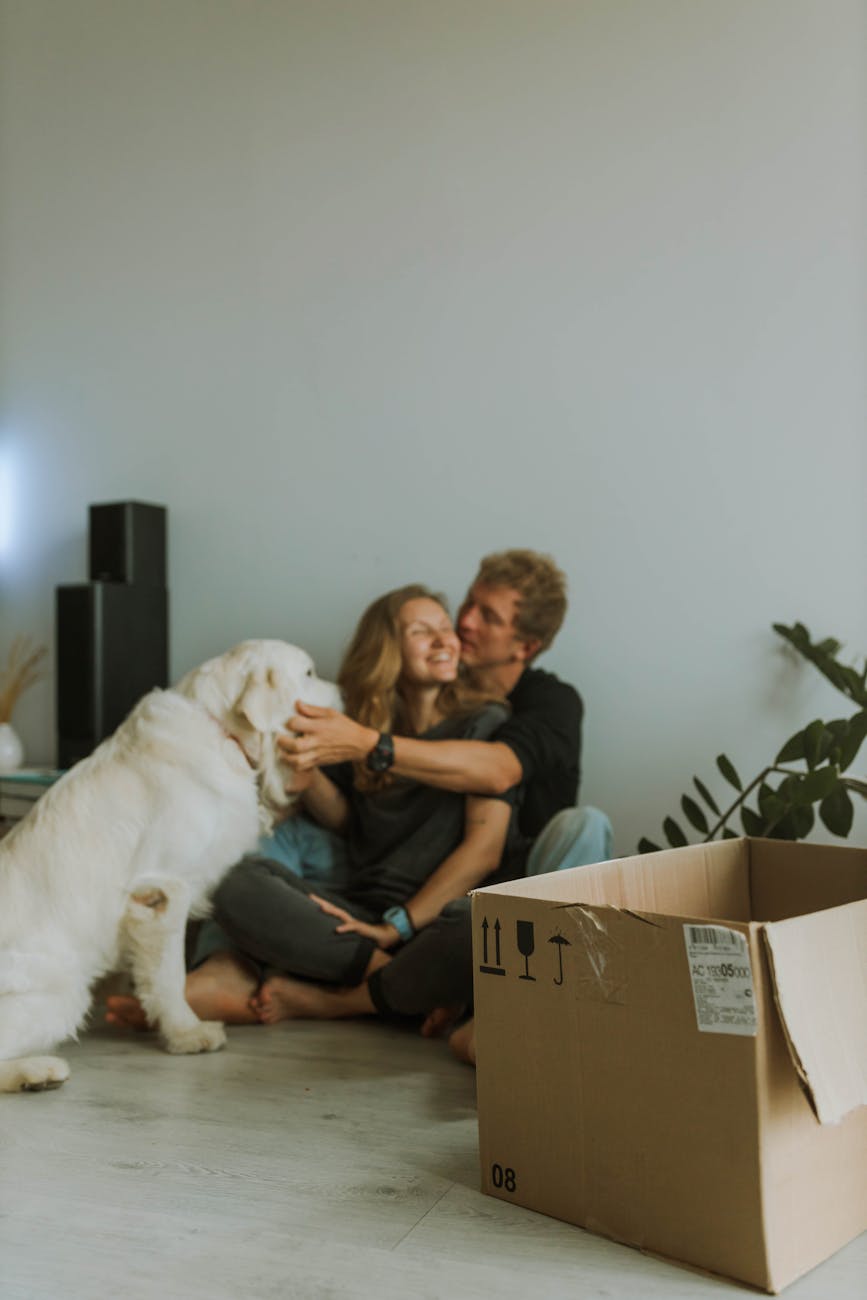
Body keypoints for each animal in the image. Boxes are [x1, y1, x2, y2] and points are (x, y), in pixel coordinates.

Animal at [0, 639, 337, 1097]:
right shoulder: (162, 891)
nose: (342, 692)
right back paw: (37, 1071)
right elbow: (170, 976)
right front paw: (188, 1034)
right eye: (309, 673)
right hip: (62, 994)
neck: (221, 730)